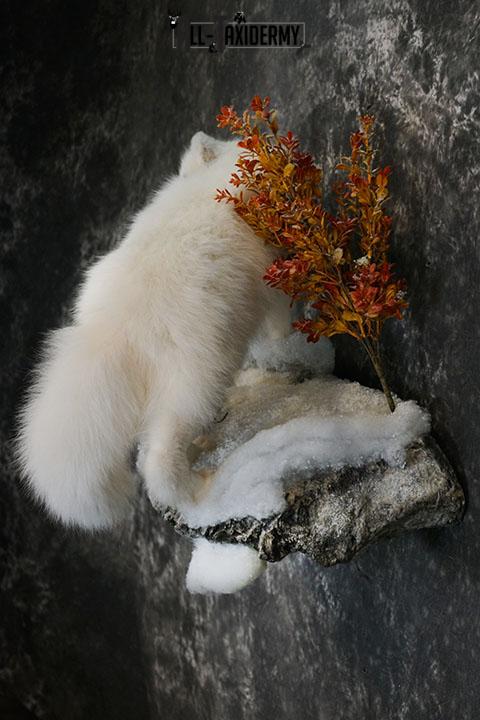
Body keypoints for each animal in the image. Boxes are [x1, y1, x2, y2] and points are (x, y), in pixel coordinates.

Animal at [16, 131, 291, 529]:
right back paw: (200, 491)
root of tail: (118, 327)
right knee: (156, 461)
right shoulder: (271, 282)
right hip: (198, 380)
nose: (274, 143)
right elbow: (281, 325)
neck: (212, 183)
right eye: (244, 142)